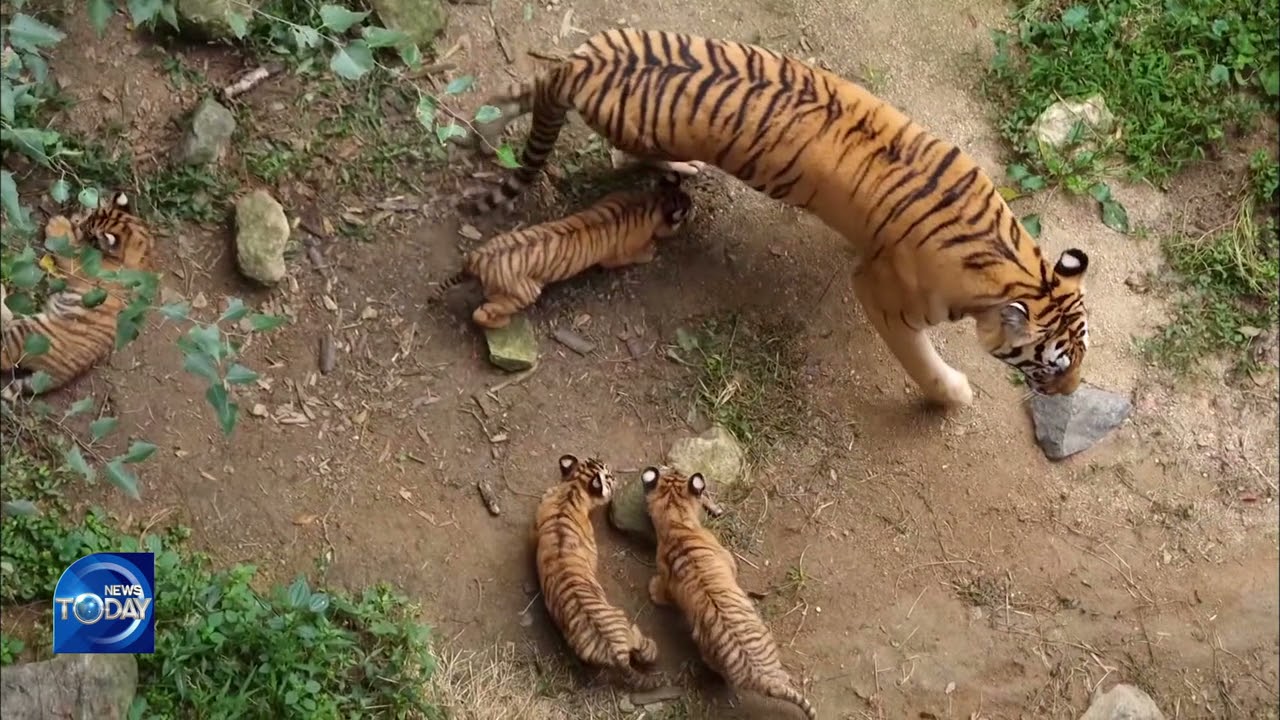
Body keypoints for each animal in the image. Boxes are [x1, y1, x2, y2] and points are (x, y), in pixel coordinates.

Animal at [1, 191, 155, 402]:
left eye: (88, 230)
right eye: (88, 219)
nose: (77, 222)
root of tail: (54, 378)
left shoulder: (80, 265)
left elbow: (69, 247)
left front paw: (58, 224)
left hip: (29, 334)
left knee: (5, 356)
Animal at [432, 181, 693, 329]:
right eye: (686, 213)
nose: (691, 202)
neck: (651, 203)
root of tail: (478, 258)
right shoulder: (617, 255)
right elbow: (634, 255)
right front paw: (650, 250)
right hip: (525, 292)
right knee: (482, 312)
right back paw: (501, 322)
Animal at [532, 453, 667, 690]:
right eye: (609, 476)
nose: (614, 473)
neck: (572, 490)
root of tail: (615, 653)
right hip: (628, 625)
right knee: (644, 649)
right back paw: (654, 649)